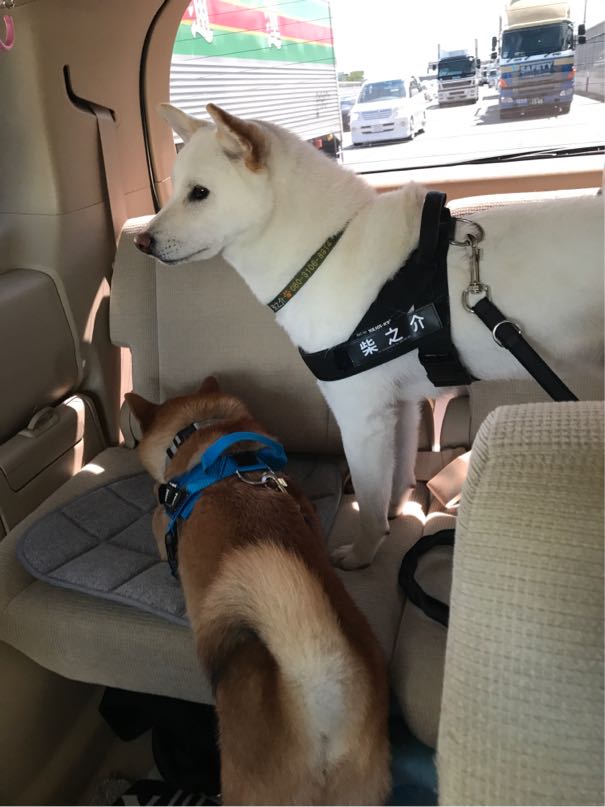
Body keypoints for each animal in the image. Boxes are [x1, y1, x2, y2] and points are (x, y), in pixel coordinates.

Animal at [134, 102, 604, 569]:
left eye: (199, 193)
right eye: (174, 191)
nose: (141, 242)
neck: (326, 250)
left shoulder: (360, 416)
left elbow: (369, 497)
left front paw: (363, 552)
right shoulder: (401, 405)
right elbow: (395, 476)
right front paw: (396, 514)